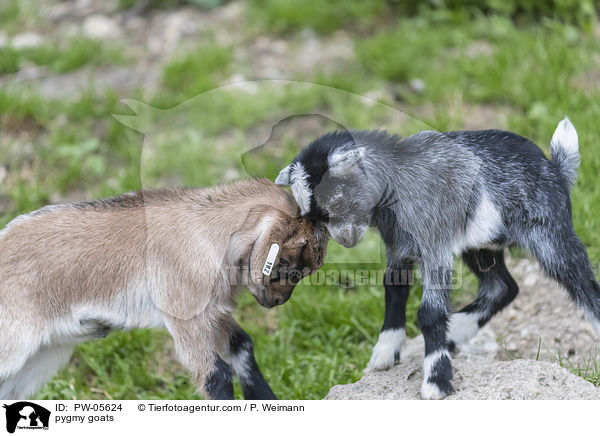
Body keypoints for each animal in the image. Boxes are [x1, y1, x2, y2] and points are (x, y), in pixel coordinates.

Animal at [0, 177, 328, 398]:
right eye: (285, 262)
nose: (278, 301)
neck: (205, 232)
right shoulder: (185, 315)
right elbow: (215, 374)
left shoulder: (213, 313)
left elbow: (242, 345)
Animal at [276, 118, 600, 398]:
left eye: (336, 202)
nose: (345, 240)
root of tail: (556, 169)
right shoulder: (399, 249)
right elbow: (394, 291)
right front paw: (385, 350)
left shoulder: (435, 249)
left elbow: (429, 313)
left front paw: (436, 381)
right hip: (481, 245)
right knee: (502, 287)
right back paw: (455, 331)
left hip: (551, 234)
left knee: (583, 284)